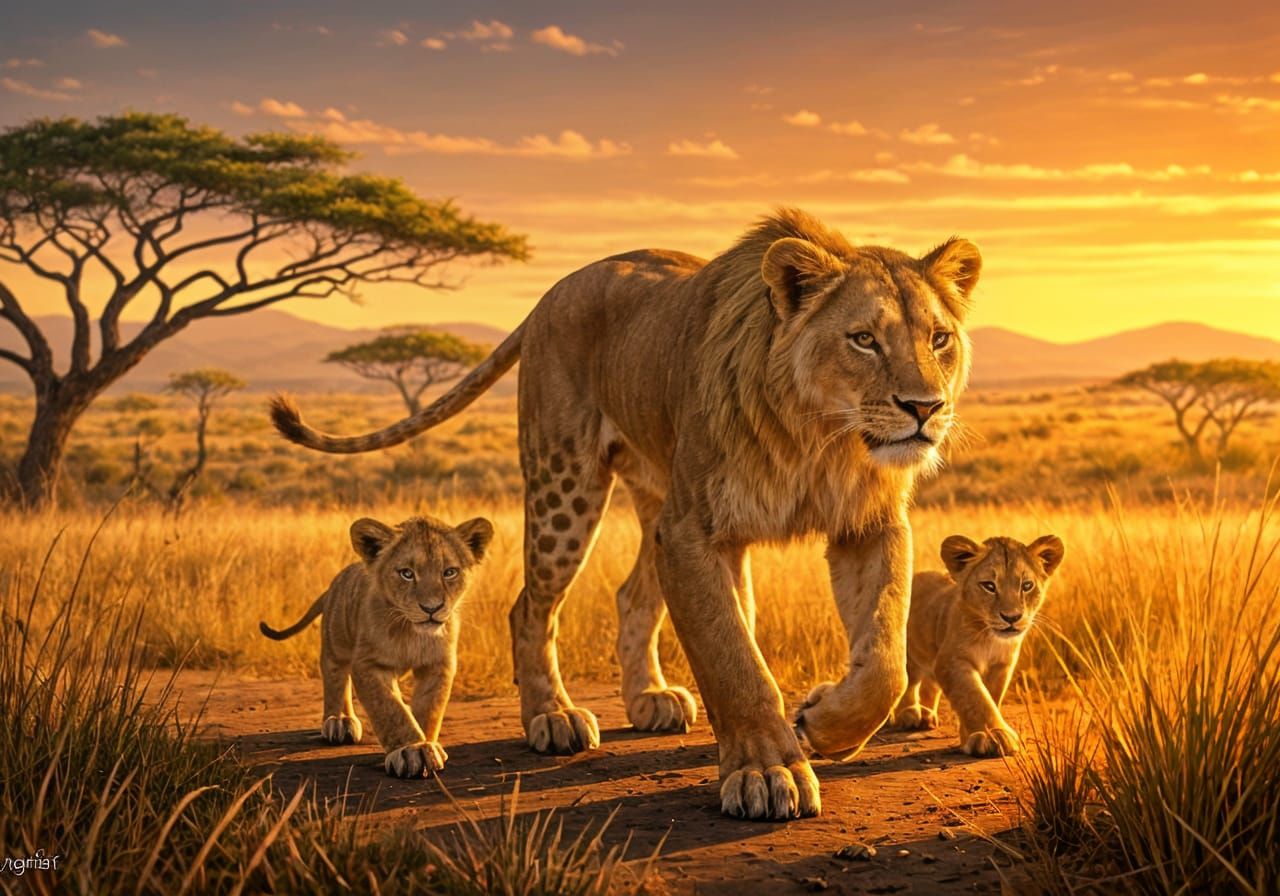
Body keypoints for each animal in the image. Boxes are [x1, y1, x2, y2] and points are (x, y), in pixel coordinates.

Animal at [259, 514, 494, 777]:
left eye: (449, 572)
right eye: (406, 573)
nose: (431, 608)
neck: (411, 632)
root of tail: (336, 582)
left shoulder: (438, 665)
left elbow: (429, 708)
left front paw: (426, 744)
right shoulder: (368, 664)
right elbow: (389, 708)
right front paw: (411, 750)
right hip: (336, 642)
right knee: (336, 679)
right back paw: (339, 721)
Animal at [887, 534, 1065, 756]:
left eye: (1026, 586)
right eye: (989, 586)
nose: (1012, 617)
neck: (991, 639)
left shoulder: (1001, 666)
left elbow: (990, 698)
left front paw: (970, 736)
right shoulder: (951, 660)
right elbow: (975, 697)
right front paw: (995, 735)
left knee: (929, 685)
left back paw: (927, 716)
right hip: (909, 653)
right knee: (909, 682)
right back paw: (908, 714)